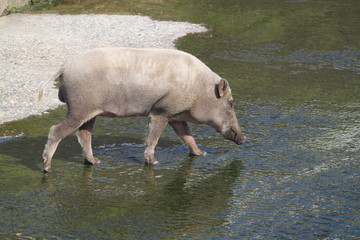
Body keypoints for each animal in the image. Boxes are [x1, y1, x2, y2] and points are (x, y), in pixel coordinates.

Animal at [38, 47, 245, 172]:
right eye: (231, 103)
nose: (243, 138)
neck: (199, 89)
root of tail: (64, 67)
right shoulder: (160, 111)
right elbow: (153, 138)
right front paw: (155, 163)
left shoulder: (176, 115)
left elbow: (187, 136)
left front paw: (201, 153)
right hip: (79, 107)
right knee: (56, 130)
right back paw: (47, 167)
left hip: (91, 111)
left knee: (84, 133)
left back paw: (95, 162)